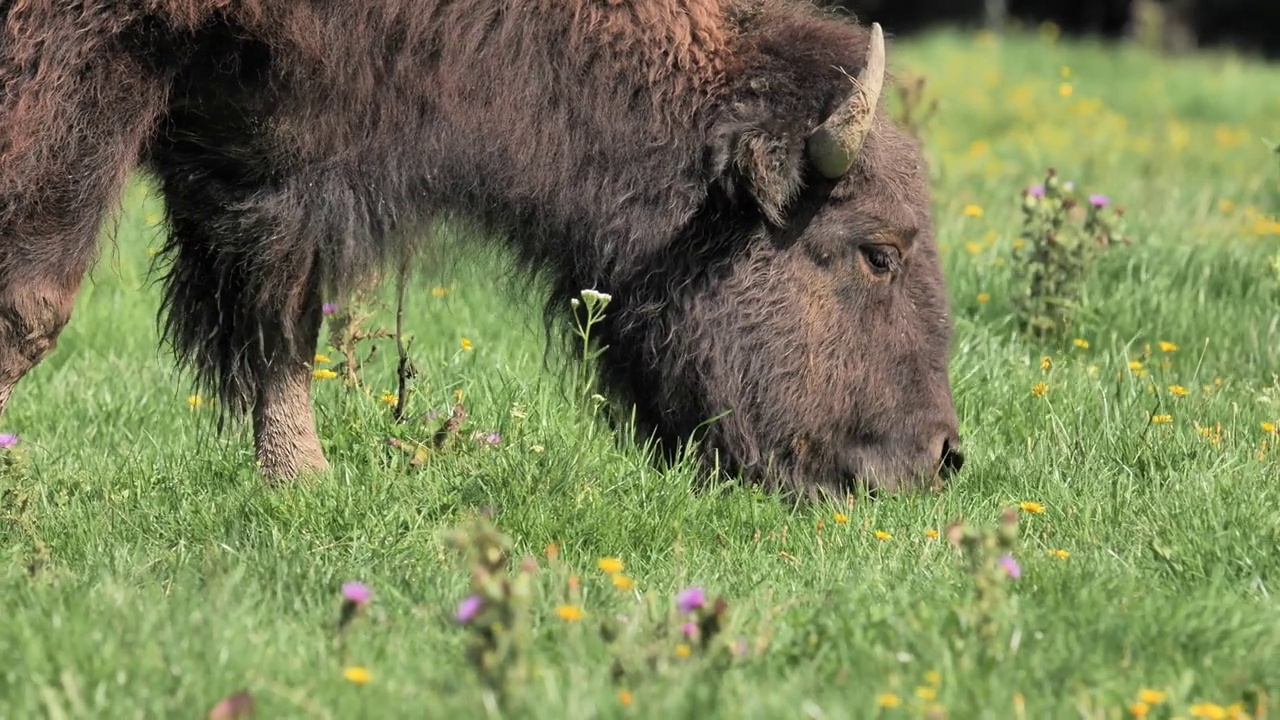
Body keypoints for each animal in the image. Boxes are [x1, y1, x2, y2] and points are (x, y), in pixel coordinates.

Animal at [0, 0, 962, 491]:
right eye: (878, 251)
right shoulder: (89, 56)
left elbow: (282, 320)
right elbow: (32, 303)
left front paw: (301, 482)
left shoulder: (262, 131)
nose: (941, 457)